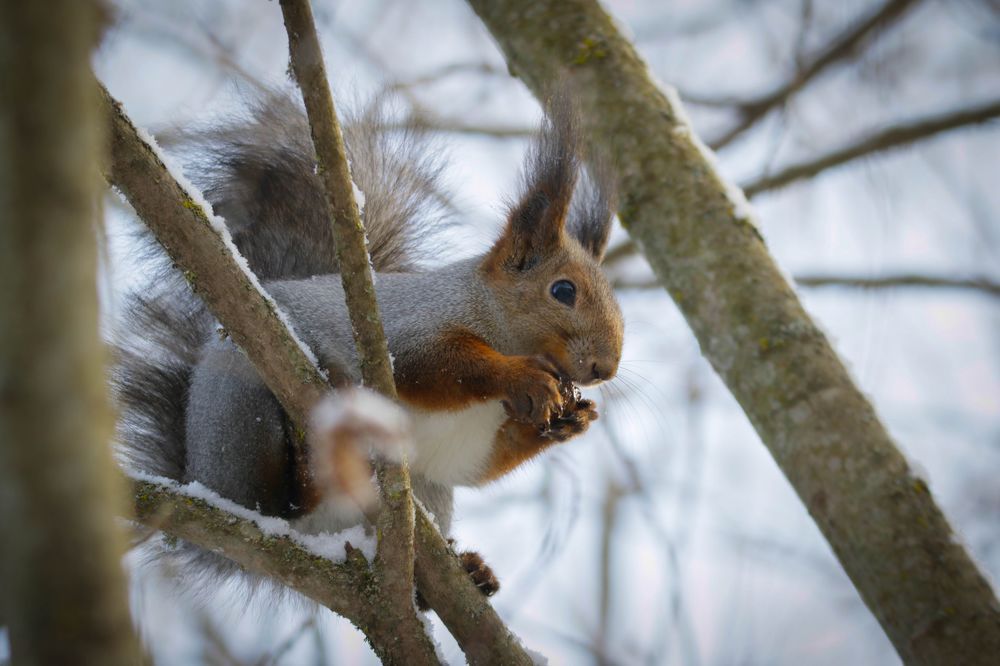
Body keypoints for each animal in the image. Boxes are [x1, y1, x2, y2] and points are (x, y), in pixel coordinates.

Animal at [112, 90, 624, 597]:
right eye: (563, 290)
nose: (607, 367)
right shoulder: (408, 330)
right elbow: (435, 367)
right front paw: (521, 375)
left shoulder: (468, 436)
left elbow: (469, 465)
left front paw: (570, 421)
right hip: (239, 413)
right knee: (275, 500)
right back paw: (307, 465)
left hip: (423, 495)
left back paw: (466, 571)